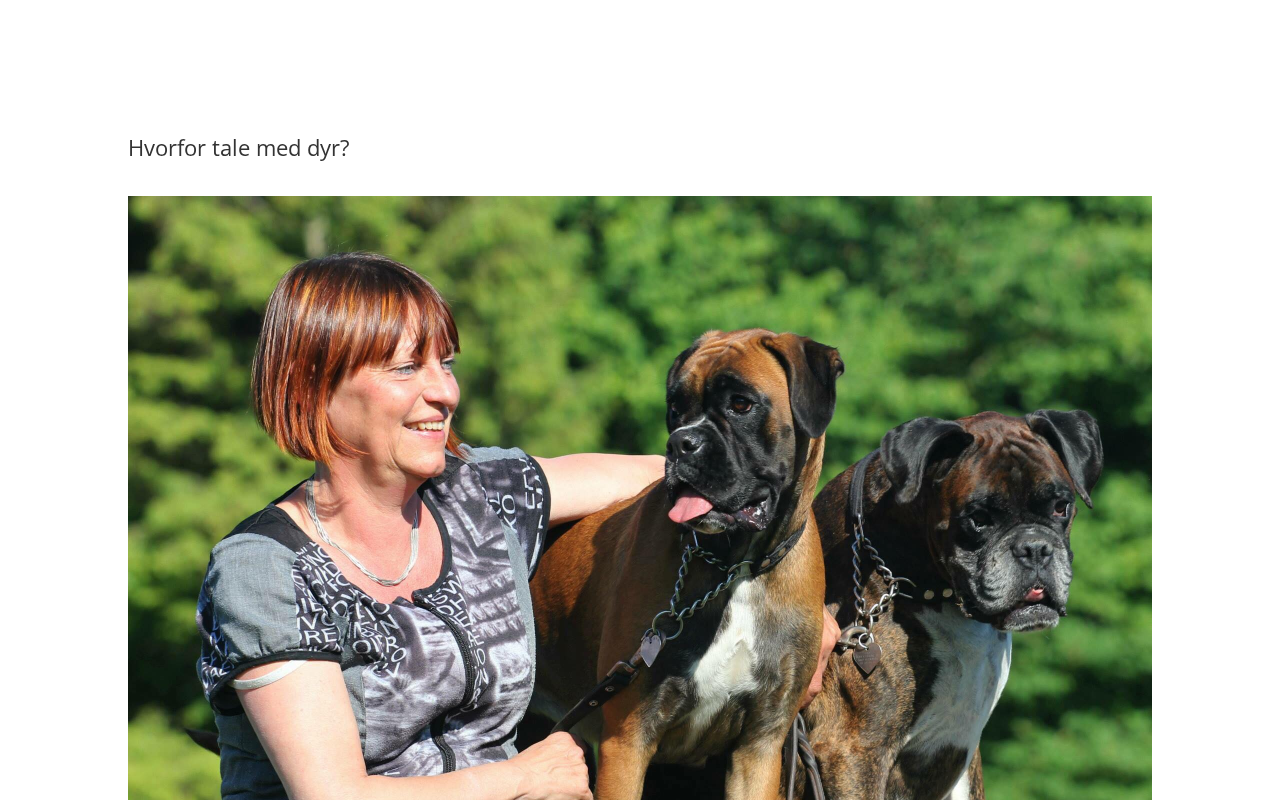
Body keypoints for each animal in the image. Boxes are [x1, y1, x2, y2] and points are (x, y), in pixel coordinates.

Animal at [529, 329, 844, 800]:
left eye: (741, 404)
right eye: (676, 408)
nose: (681, 443)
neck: (737, 569)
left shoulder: (760, 747)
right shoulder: (628, 741)